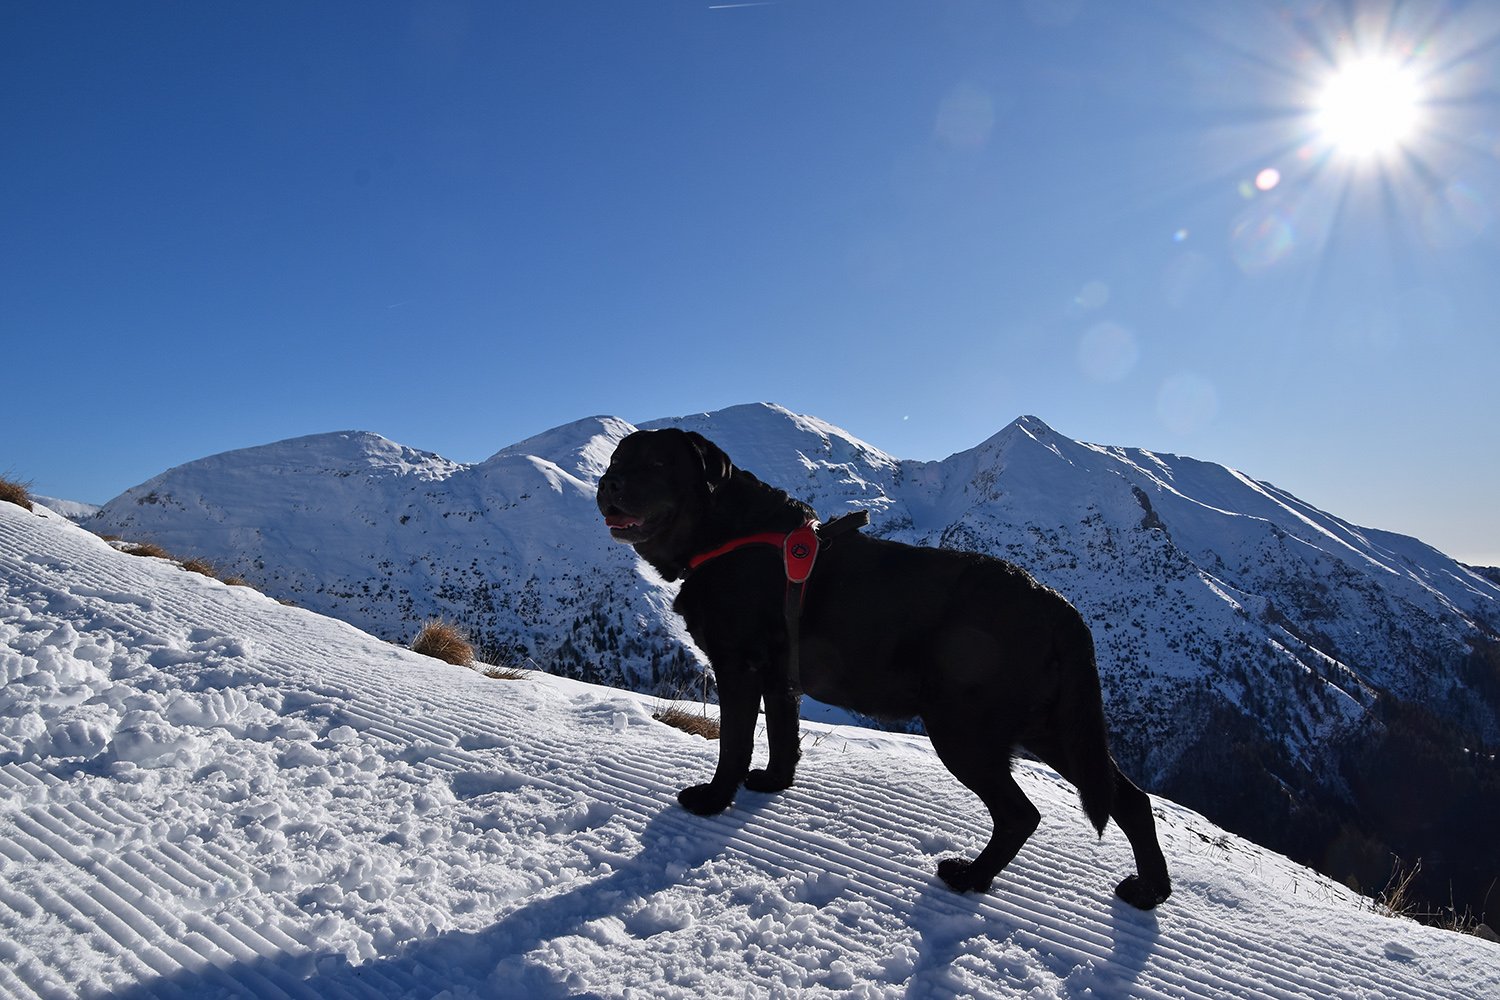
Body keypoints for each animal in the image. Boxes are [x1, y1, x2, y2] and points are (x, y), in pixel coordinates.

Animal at [597, 425, 1170, 911]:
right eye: (616, 459)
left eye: (657, 463)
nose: (608, 483)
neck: (727, 534)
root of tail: (1061, 608)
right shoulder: (782, 680)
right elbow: (783, 737)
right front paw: (775, 783)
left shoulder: (740, 668)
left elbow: (733, 745)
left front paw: (714, 800)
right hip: (1053, 728)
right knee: (1132, 800)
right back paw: (1149, 892)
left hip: (965, 730)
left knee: (1020, 814)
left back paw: (971, 877)